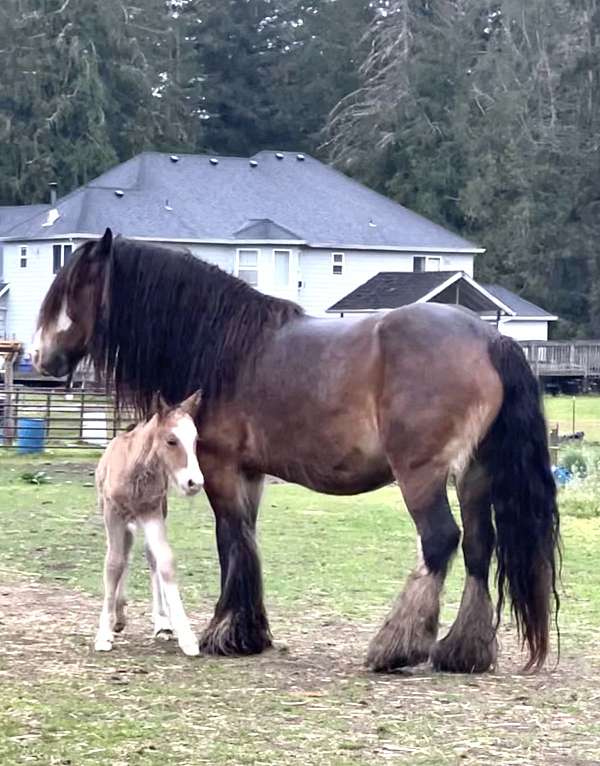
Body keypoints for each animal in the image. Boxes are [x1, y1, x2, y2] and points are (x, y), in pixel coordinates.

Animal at [94, 392, 204, 656]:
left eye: (195, 440)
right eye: (171, 440)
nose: (194, 482)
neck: (135, 470)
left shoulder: (151, 513)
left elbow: (164, 561)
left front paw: (186, 636)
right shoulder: (113, 514)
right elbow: (113, 564)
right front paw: (104, 633)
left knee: (146, 556)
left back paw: (161, 623)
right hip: (120, 519)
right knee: (122, 554)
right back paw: (118, 616)